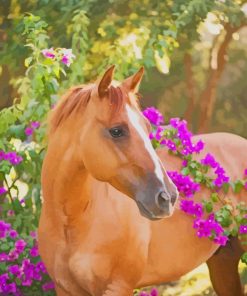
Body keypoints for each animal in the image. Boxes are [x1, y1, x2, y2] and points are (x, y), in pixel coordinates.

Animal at [38, 66, 247, 294]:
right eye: (116, 131)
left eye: (147, 127)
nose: (168, 197)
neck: (73, 222)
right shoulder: (66, 289)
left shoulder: (118, 287)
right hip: (223, 262)